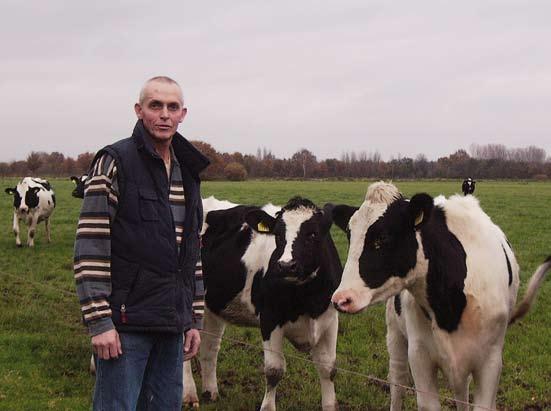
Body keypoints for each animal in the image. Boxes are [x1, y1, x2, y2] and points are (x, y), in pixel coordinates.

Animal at [183, 196, 342, 411]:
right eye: (278, 235)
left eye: (313, 234)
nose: (286, 265)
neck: (307, 297)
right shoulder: (270, 318)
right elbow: (274, 370)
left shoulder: (330, 318)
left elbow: (328, 368)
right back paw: (189, 395)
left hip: (212, 305)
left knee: (210, 347)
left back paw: (210, 392)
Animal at [332, 183, 551, 411]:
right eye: (350, 236)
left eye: (382, 237)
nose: (341, 299)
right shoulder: (419, 355)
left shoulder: (491, 360)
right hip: (395, 333)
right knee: (398, 381)